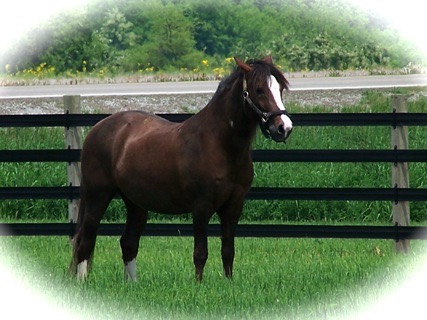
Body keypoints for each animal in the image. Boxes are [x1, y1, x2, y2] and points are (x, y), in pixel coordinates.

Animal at [71, 56, 294, 282]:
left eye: (280, 88)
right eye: (259, 89)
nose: (284, 128)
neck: (219, 144)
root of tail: (97, 129)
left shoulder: (234, 207)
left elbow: (228, 251)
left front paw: (228, 283)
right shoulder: (201, 207)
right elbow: (200, 253)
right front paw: (198, 285)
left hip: (135, 203)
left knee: (128, 243)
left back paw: (132, 284)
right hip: (97, 196)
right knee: (85, 242)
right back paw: (82, 282)